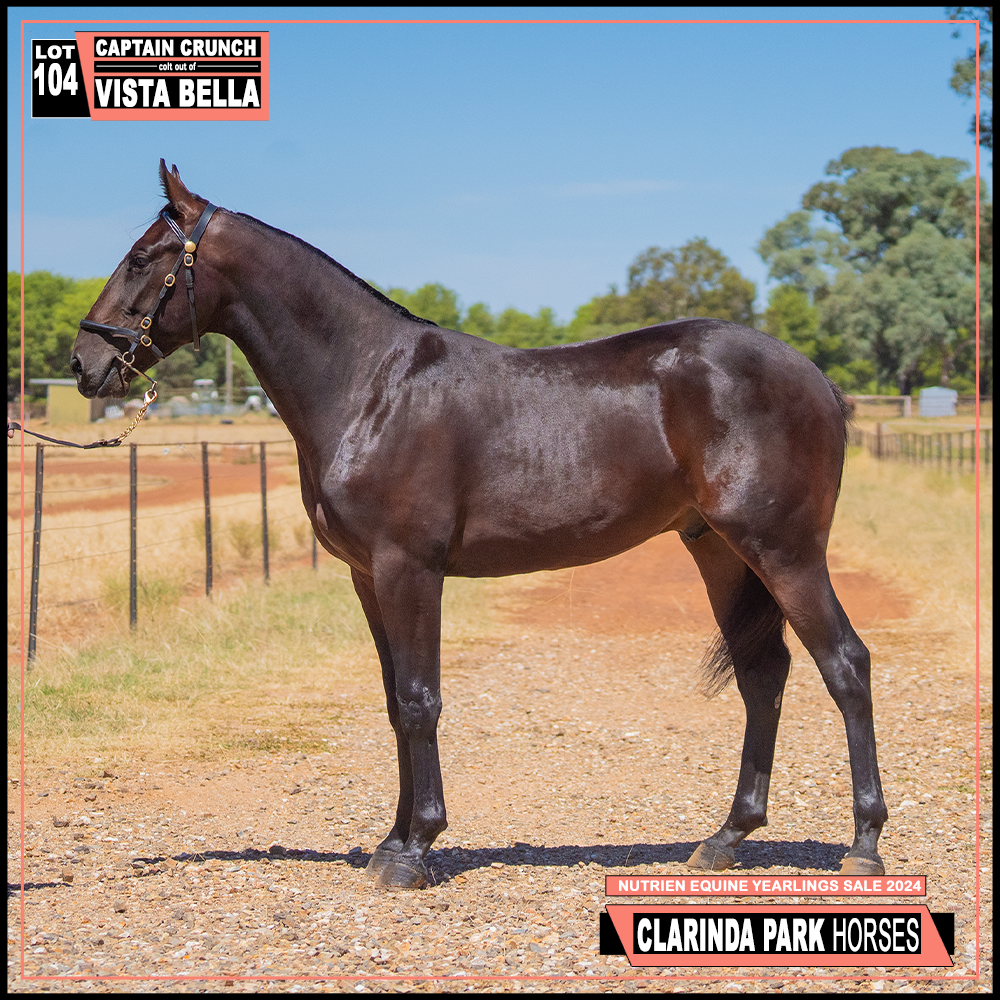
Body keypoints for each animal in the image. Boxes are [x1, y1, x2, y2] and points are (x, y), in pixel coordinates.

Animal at [70, 161, 888, 889]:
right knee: (763, 673)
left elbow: (420, 699)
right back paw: (725, 838)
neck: (370, 384)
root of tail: (817, 379)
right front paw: (392, 840)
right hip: (719, 551)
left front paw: (414, 850)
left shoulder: (409, 568)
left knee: (845, 664)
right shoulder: (368, 576)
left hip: (784, 552)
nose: (82, 361)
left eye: (141, 257)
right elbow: (395, 701)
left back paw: (865, 844)